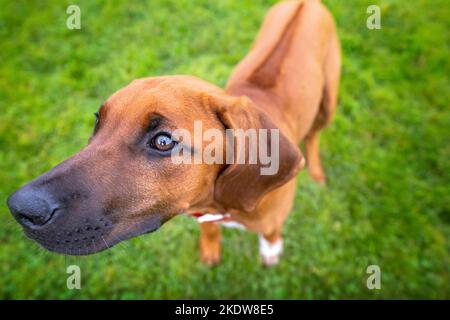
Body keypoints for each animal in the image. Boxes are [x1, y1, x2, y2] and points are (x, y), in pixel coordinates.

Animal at [7, 0, 340, 264]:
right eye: (97, 121)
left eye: (164, 141)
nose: (21, 209)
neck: (218, 204)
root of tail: (306, 3)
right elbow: (208, 230)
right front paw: (209, 249)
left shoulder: (269, 221)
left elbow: (270, 235)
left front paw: (270, 251)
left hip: (328, 101)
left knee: (314, 135)